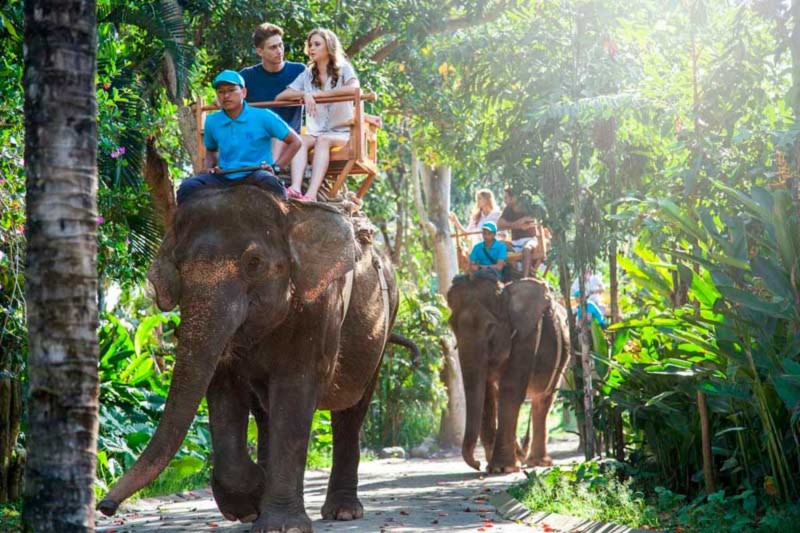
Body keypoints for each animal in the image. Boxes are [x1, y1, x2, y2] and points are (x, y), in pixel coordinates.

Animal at [97, 183, 400, 533]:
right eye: (179, 264)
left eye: (254, 262)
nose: (105, 506)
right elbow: (224, 388)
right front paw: (251, 504)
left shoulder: (319, 307)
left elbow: (296, 389)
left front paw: (282, 526)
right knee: (265, 411)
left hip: (383, 324)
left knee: (351, 410)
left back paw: (343, 512)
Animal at [447, 276, 570, 473]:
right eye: (452, 326)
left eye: (490, 327)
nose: (477, 464)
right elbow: (487, 394)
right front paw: (495, 465)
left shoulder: (526, 335)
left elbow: (511, 389)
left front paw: (502, 468)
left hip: (564, 354)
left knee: (543, 399)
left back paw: (537, 462)